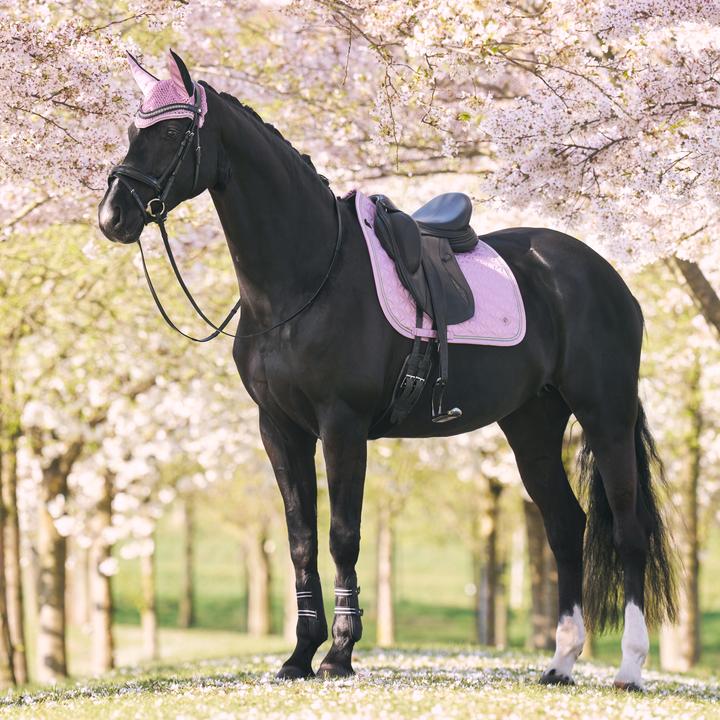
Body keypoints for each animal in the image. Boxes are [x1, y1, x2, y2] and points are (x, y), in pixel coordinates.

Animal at [98, 50, 676, 690]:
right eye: (132, 129)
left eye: (172, 134)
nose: (112, 216)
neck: (303, 278)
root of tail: (603, 273)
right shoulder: (279, 428)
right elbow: (301, 540)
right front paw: (299, 655)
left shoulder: (342, 425)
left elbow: (342, 536)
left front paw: (339, 654)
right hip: (532, 424)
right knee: (567, 528)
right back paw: (560, 663)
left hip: (605, 414)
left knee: (627, 529)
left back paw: (630, 667)